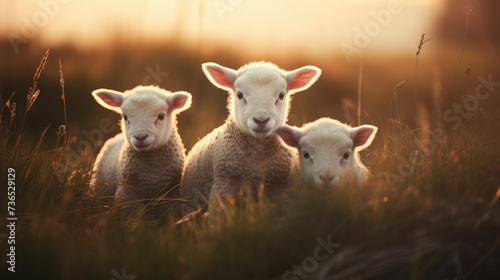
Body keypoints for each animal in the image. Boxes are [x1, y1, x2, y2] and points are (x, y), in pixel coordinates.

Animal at [182, 61, 322, 210]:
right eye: (239, 95)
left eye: (281, 95)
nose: (261, 120)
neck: (256, 164)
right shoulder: (224, 181)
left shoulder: (281, 187)